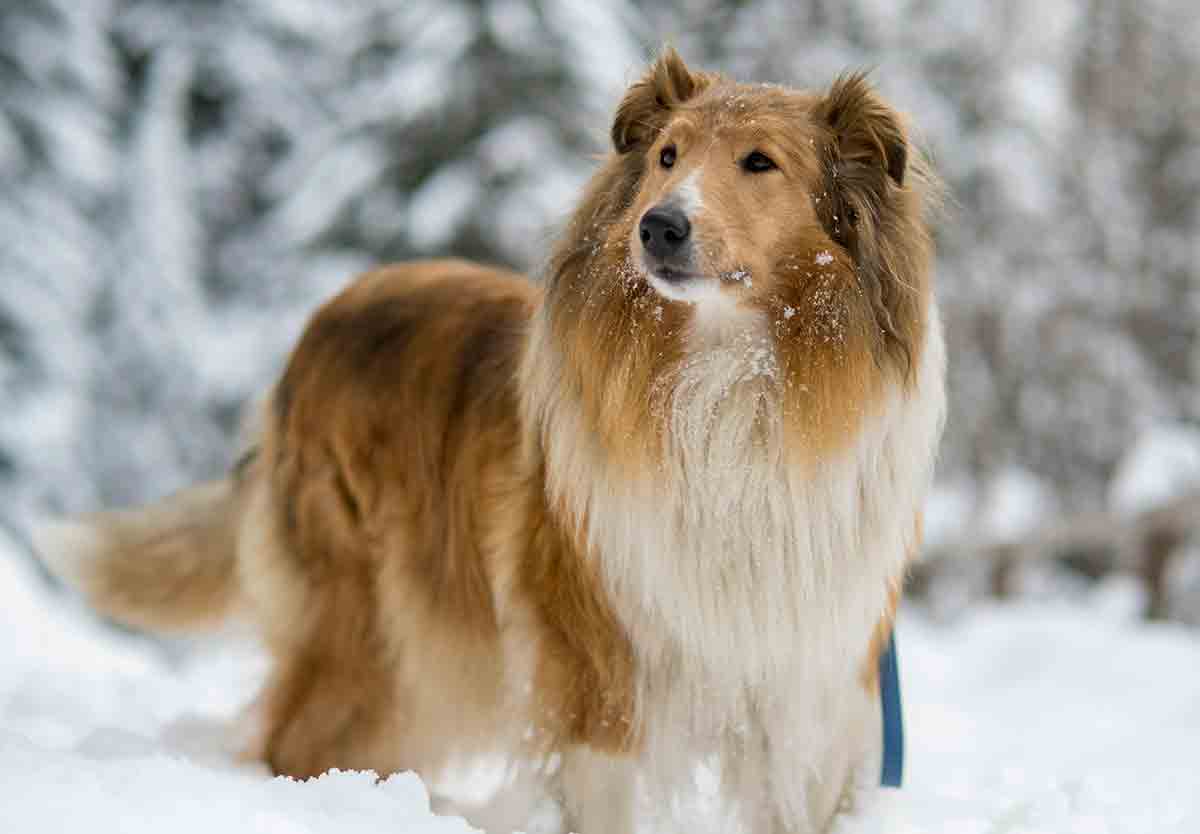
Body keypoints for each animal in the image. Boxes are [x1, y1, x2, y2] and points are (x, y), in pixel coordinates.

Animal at [37, 52, 945, 834]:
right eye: (666, 155)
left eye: (760, 163)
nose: (657, 228)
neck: (730, 385)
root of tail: (329, 313)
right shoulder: (597, 665)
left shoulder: (805, 691)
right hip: (372, 624)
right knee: (296, 739)